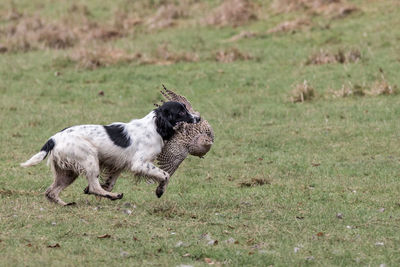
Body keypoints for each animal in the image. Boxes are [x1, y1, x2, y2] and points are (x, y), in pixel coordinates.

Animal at [21, 101, 199, 206]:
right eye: (181, 112)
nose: (198, 118)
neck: (154, 126)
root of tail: (54, 138)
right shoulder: (139, 163)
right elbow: (165, 175)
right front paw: (160, 191)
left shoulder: (117, 166)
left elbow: (109, 182)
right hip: (90, 158)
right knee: (94, 186)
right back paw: (113, 196)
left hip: (68, 172)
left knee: (51, 191)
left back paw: (66, 204)